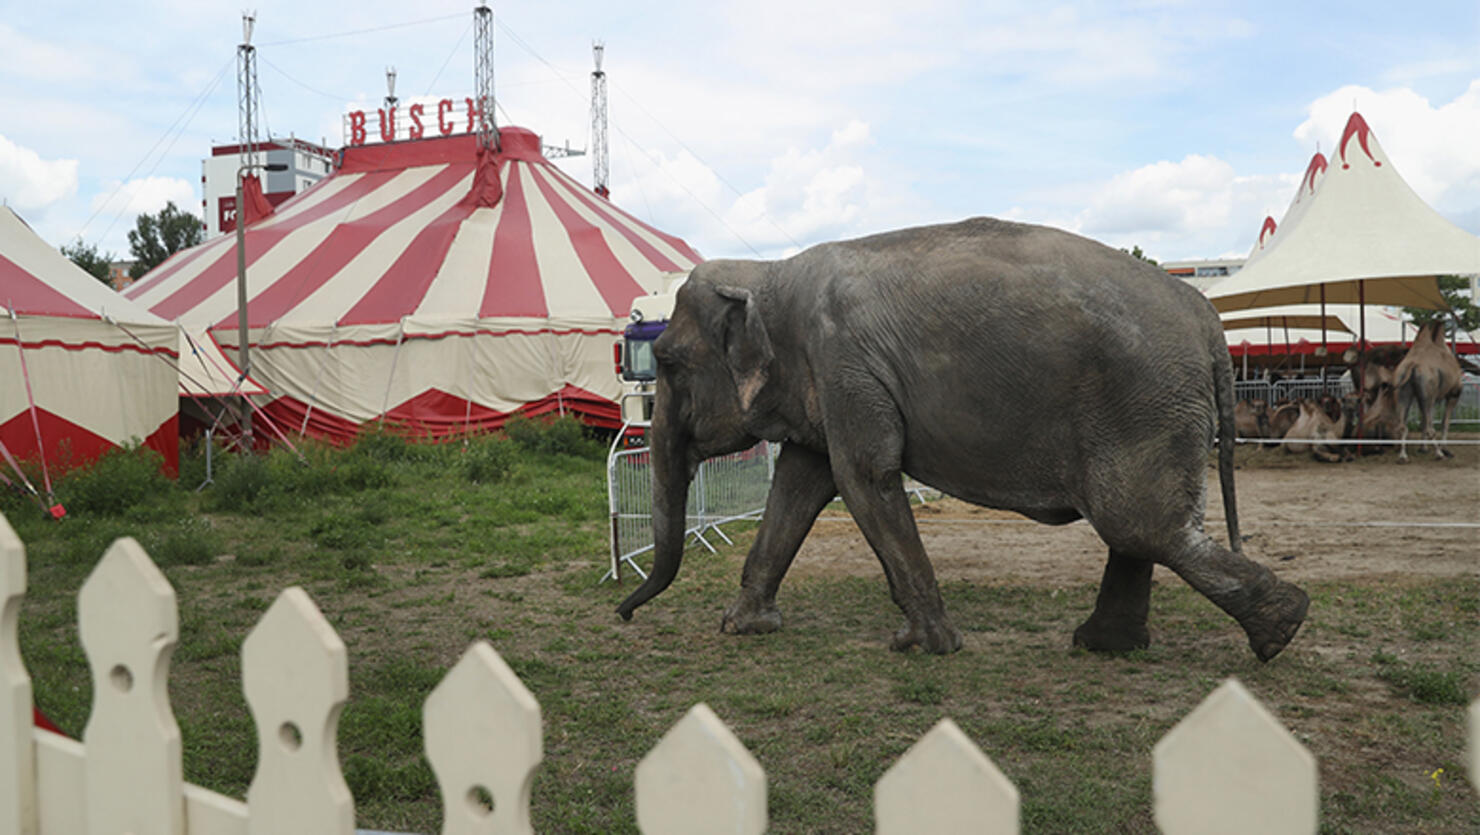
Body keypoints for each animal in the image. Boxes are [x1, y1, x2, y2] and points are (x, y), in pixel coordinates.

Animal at [612, 219, 1308, 663]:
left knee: (1139, 523)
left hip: (1142, 402)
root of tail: (1207, 319)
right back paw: (1106, 645)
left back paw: (1282, 630)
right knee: (1139, 529)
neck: (771, 276)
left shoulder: (845, 367)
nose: (621, 614)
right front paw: (742, 628)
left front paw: (922, 647)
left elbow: (863, 476)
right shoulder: (826, 382)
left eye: (667, 361)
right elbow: (803, 482)